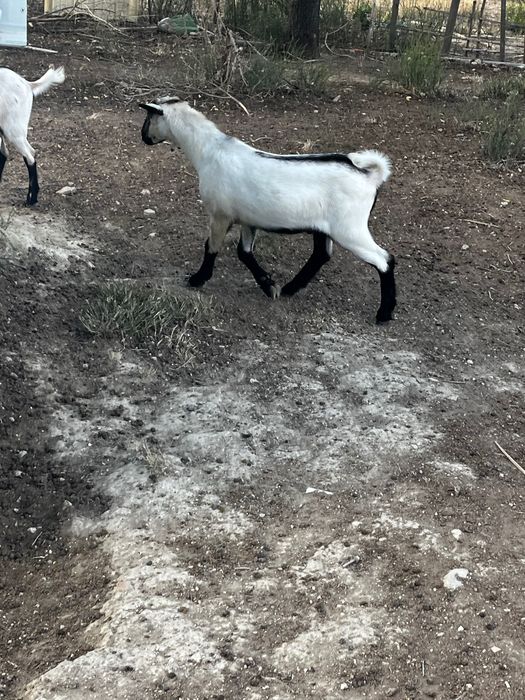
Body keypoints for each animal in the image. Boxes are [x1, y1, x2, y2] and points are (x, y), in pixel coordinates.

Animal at [139, 97, 396, 323]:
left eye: (149, 117)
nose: (144, 137)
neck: (208, 150)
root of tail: (370, 177)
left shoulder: (220, 214)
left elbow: (211, 248)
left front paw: (197, 279)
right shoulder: (248, 219)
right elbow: (244, 253)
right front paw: (269, 285)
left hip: (350, 229)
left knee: (384, 260)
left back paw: (384, 313)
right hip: (326, 227)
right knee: (321, 254)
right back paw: (291, 288)